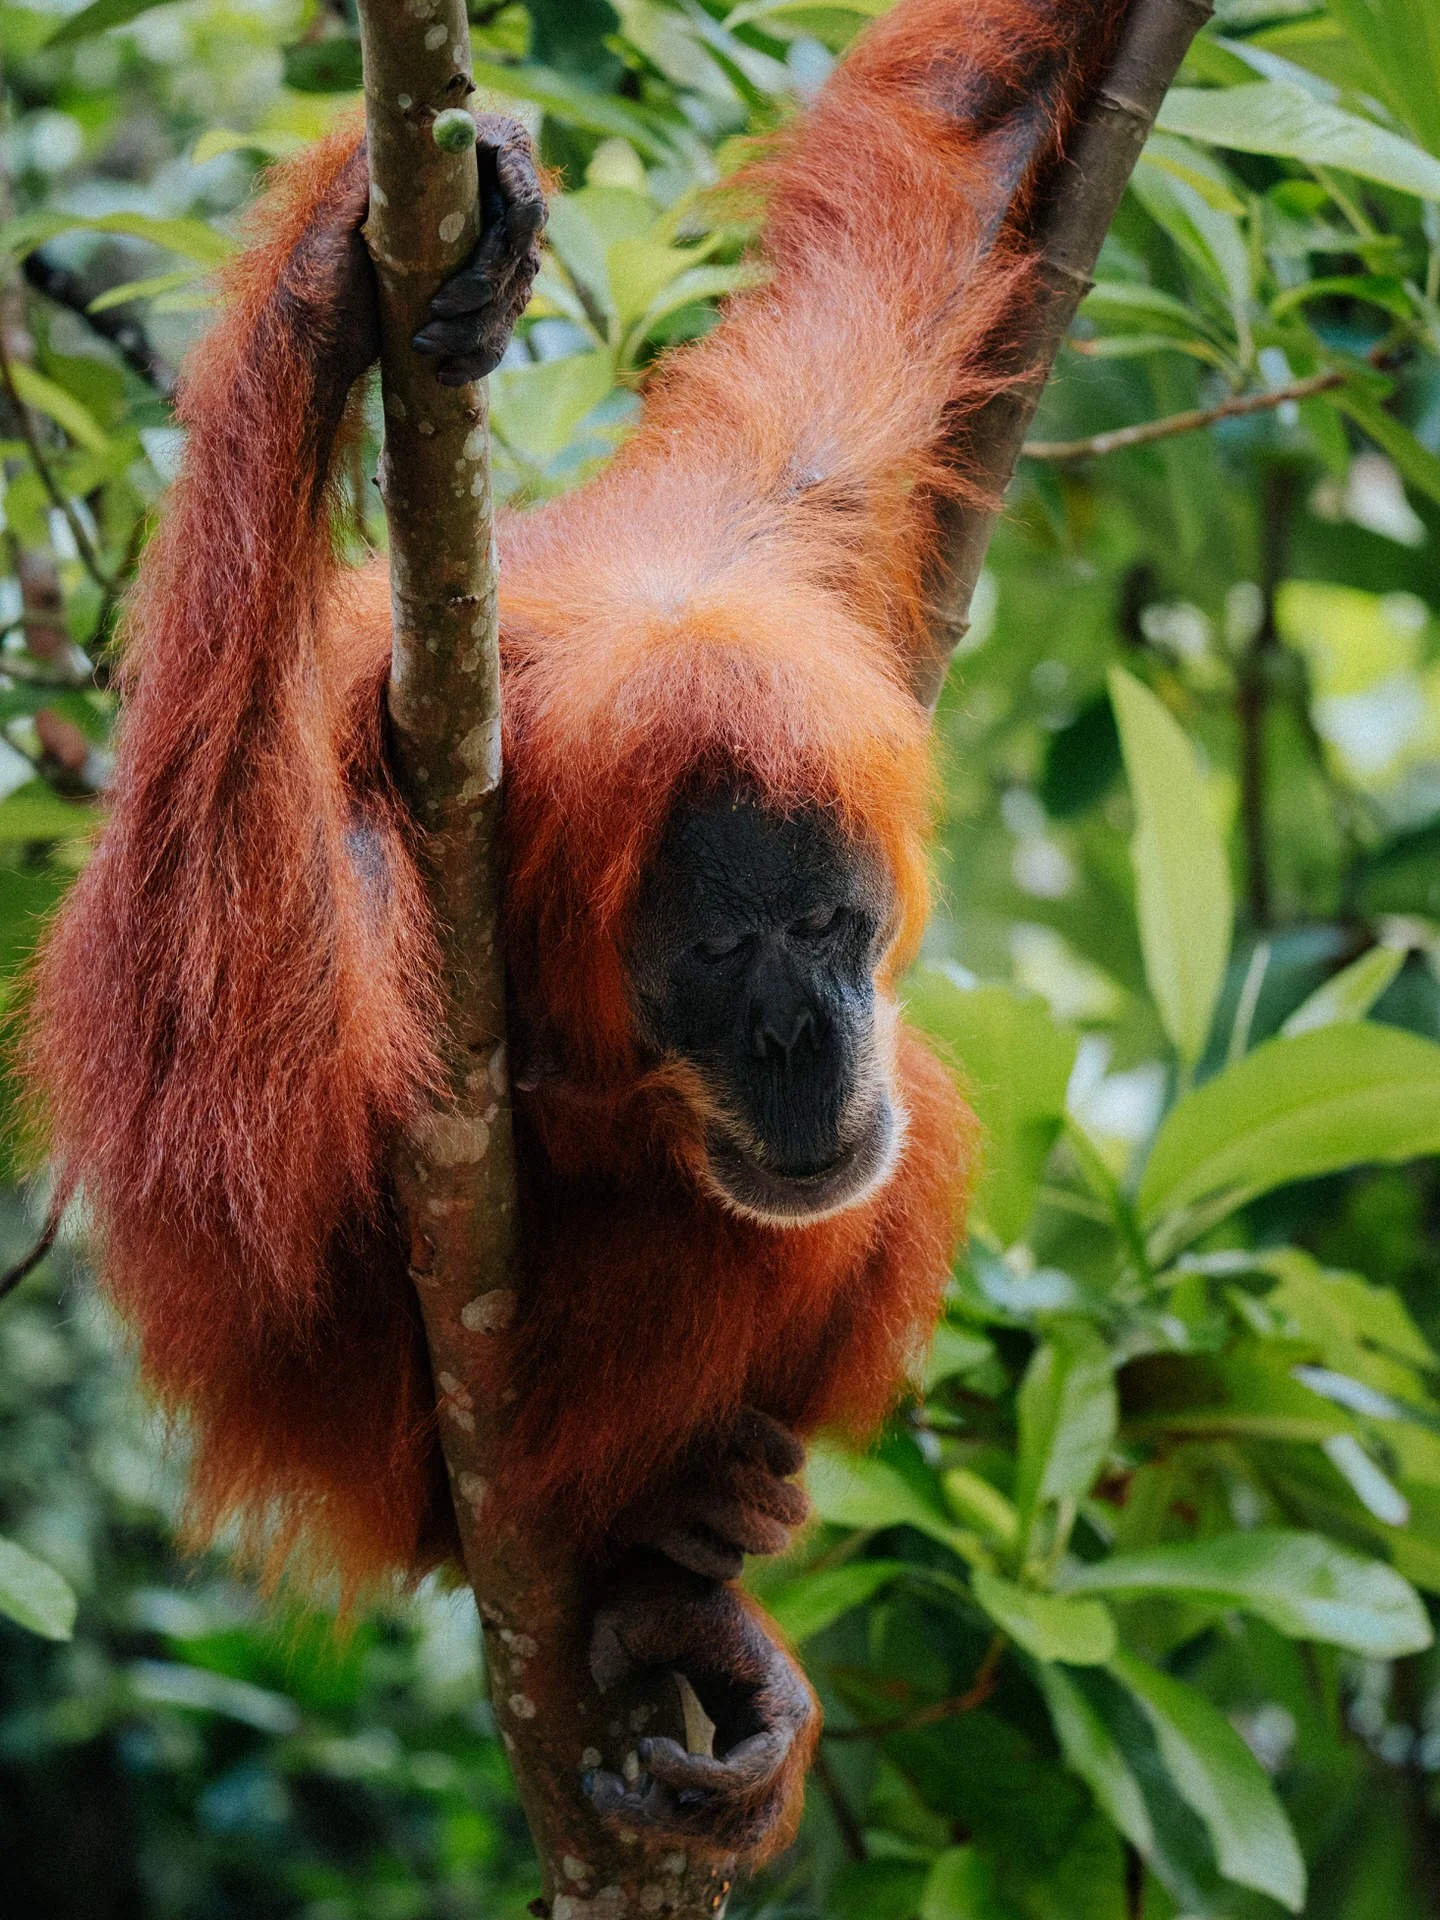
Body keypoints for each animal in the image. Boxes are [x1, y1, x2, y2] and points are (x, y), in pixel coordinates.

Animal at [27, 0, 1129, 1863]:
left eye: (828, 921)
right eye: (715, 966)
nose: (804, 1034)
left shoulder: (778, 509)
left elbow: (952, 158)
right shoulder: (370, 761)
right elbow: (232, 1140)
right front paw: (322, 284)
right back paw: (663, 1559)